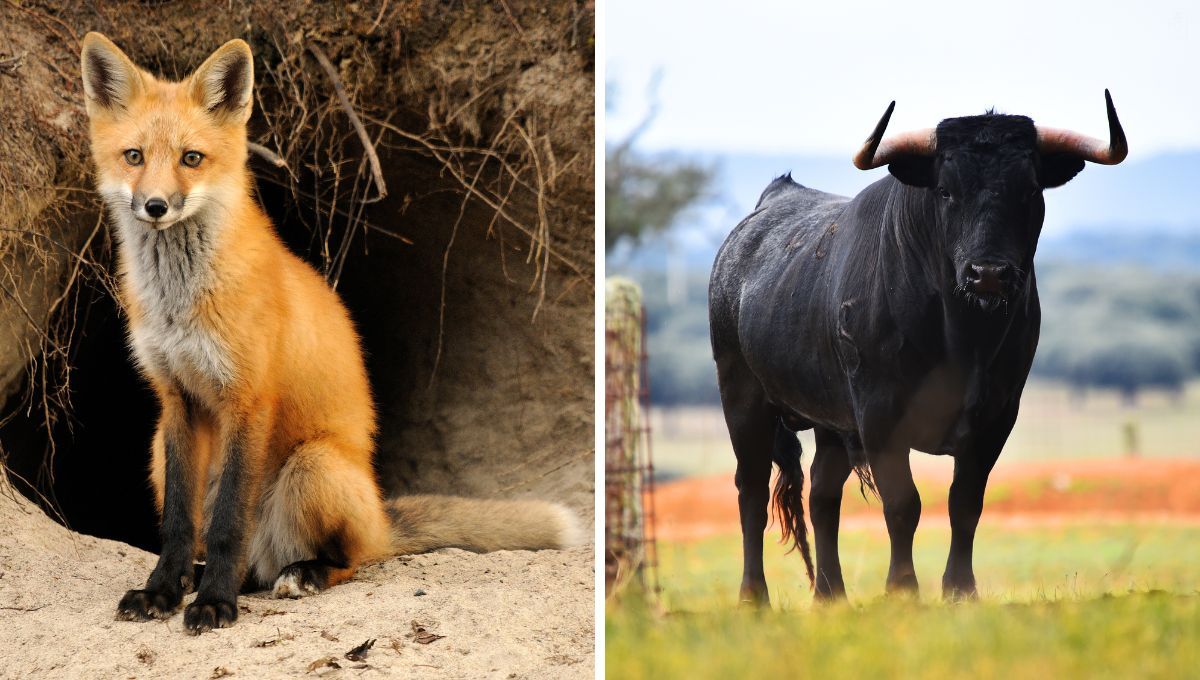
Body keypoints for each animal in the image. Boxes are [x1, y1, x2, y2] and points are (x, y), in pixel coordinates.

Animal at [79, 33, 581, 634]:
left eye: (191, 158)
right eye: (134, 156)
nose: (155, 206)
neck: (181, 304)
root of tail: (379, 514)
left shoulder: (249, 398)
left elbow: (226, 526)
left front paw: (215, 603)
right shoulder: (177, 400)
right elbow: (179, 524)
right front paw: (162, 591)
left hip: (312, 466)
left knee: (349, 559)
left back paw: (299, 574)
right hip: (158, 447)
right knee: (247, 558)